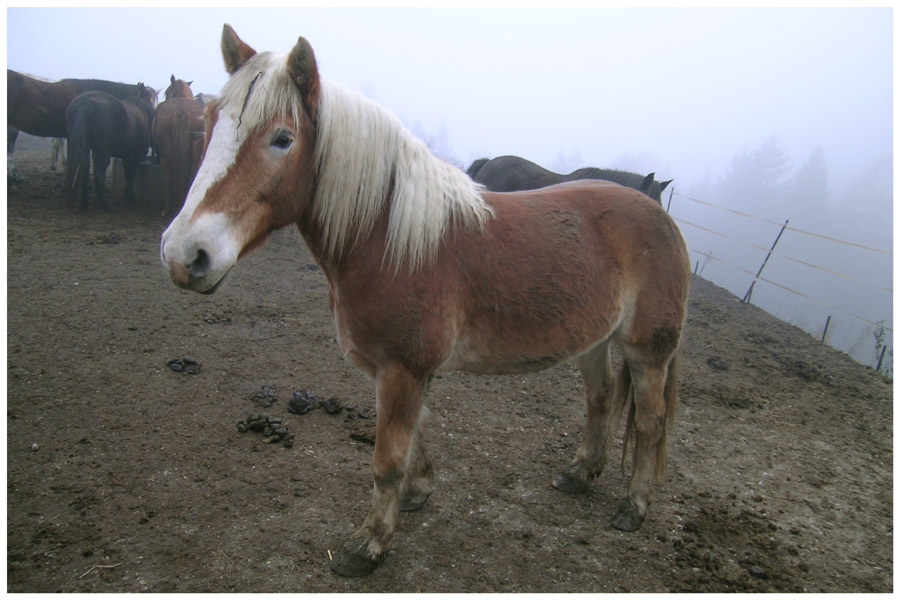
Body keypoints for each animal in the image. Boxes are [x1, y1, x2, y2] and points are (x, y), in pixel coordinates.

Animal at [153, 74, 206, 216]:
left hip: (165, 154)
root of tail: (182, 111)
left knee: (168, 177)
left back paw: (166, 209)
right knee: (191, 176)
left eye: (167, 93)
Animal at [160, 25, 688, 580]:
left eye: (283, 138)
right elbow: (415, 437)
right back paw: (582, 472)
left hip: (648, 353)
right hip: (593, 342)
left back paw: (633, 507)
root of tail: (662, 218)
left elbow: (386, 460)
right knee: (601, 398)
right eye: (210, 122)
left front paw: (369, 544)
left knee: (650, 424)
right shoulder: (391, 372)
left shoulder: (404, 369)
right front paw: (417, 494)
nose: (184, 254)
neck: (388, 239)